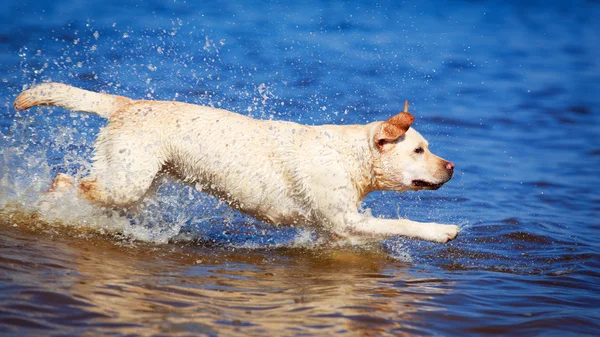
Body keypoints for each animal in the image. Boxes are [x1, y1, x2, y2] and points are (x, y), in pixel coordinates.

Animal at [12, 82, 460, 243]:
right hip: (125, 183)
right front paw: (442, 231)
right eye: (419, 150)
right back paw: (50, 208)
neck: (351, 157)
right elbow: (402, 224)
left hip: (137, 182)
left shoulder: (339, 228)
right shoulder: (345, 219)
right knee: (68, 182)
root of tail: (128, 103)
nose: (452, 166)